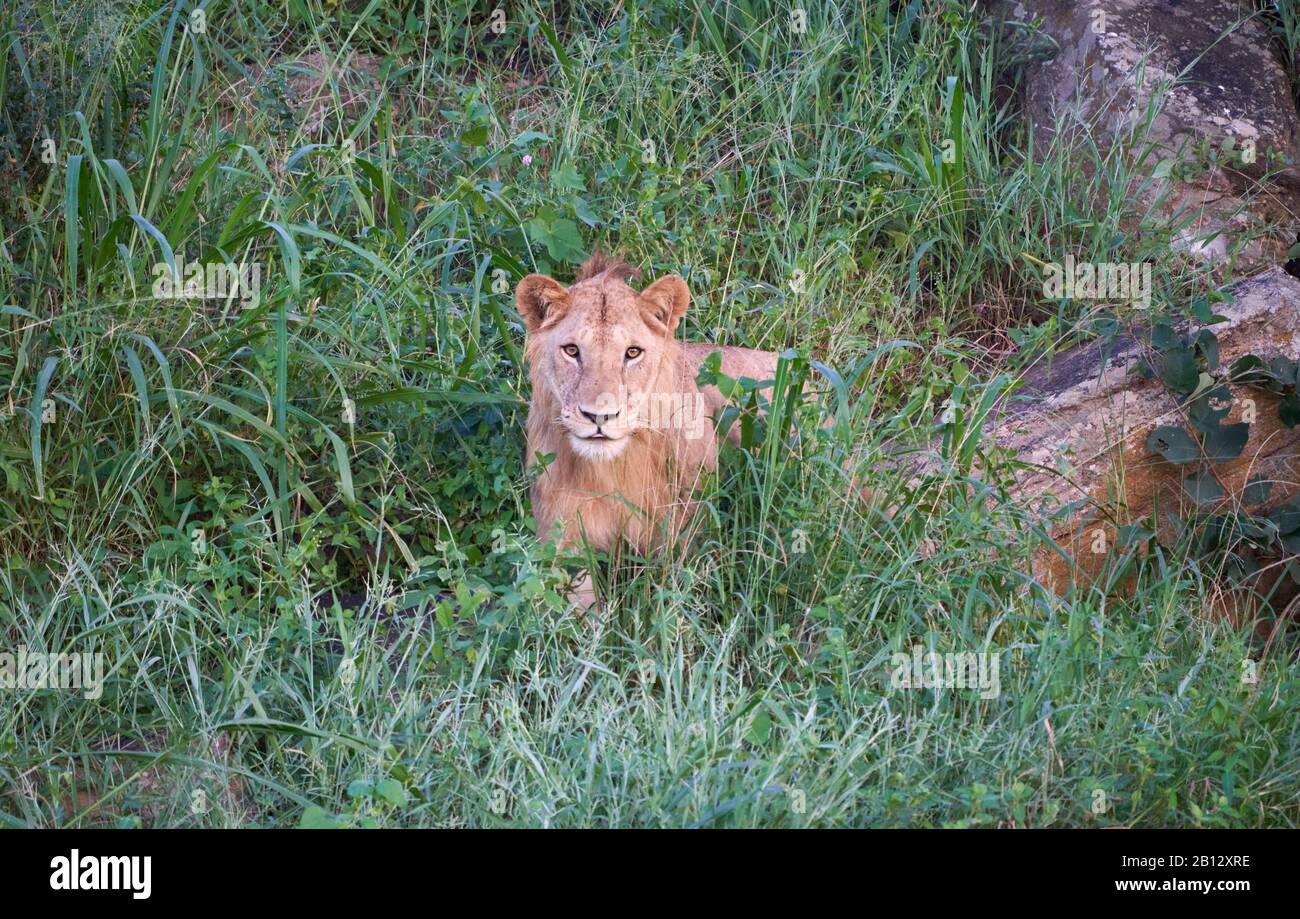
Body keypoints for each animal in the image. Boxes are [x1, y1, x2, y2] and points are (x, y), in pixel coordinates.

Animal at [516, 252, 780, 609]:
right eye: (571, 351)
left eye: (632, 353)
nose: (600, 416)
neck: (611, 469)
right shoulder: (562, 538)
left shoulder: (683, 532)